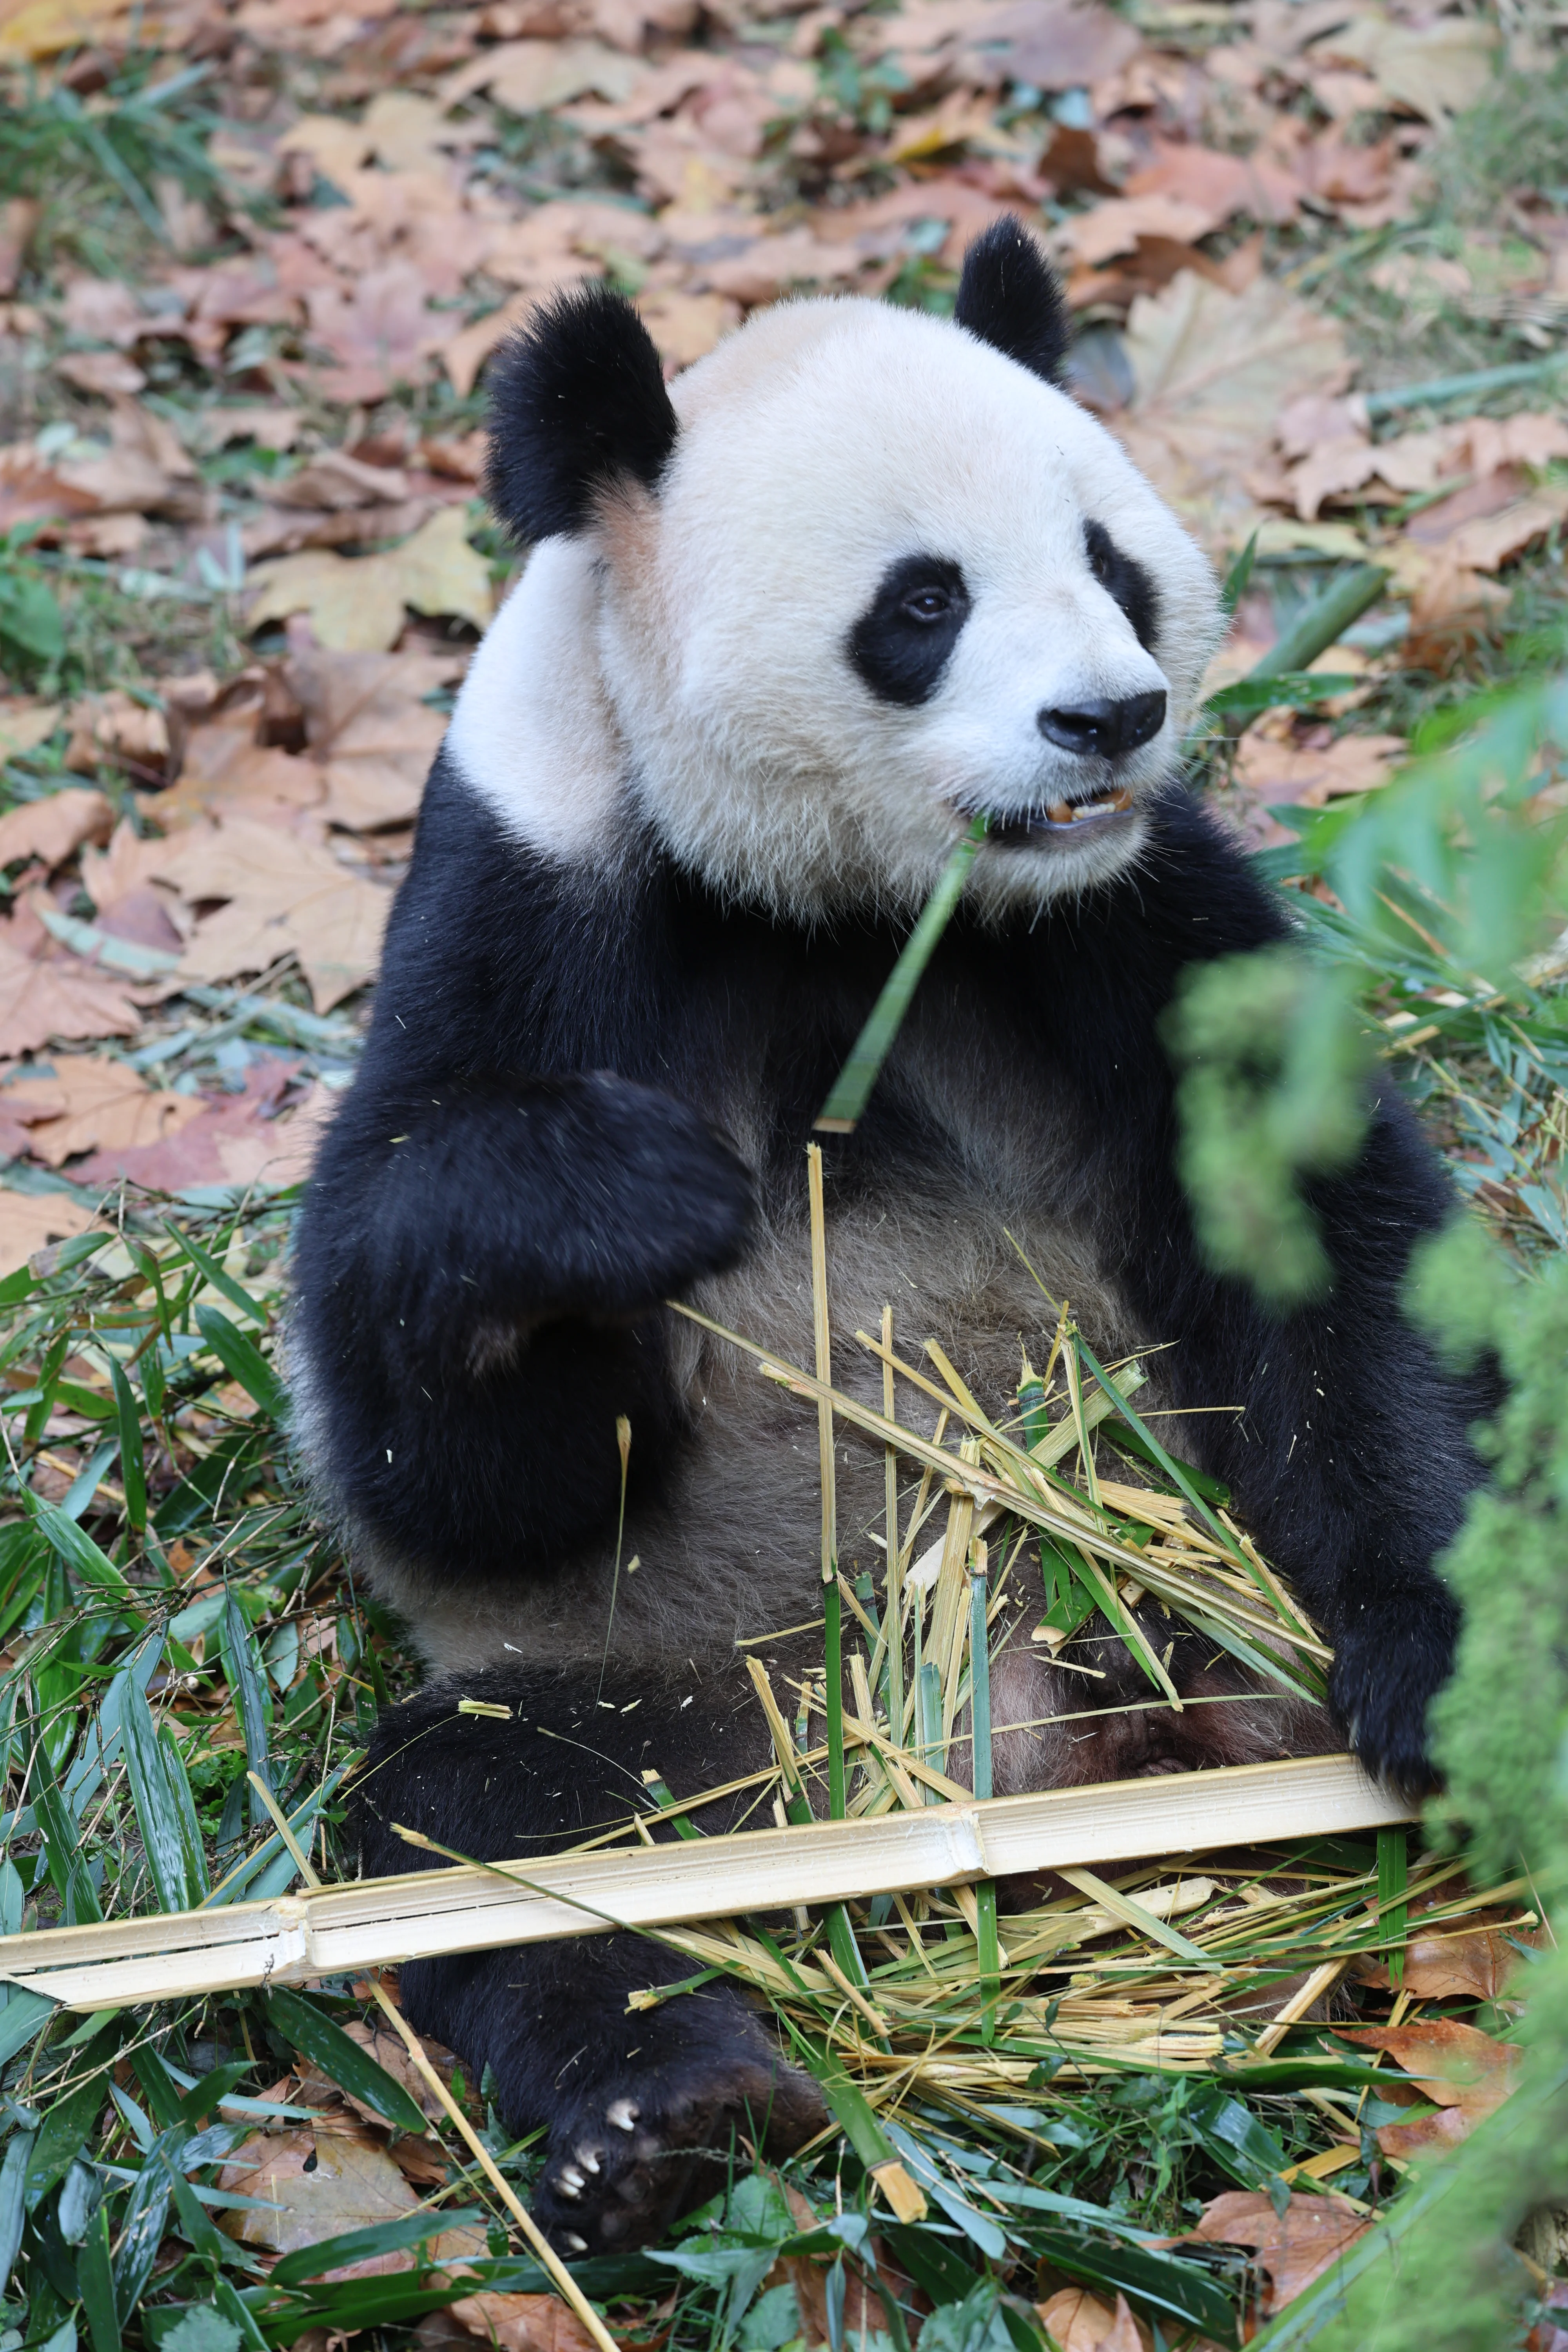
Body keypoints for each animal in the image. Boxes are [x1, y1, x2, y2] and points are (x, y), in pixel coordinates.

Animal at [290, 220, 1491, 2256]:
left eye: (1106, 558)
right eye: (920, 602)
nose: (1108, 713)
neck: (852, 897)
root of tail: (1013, 1744)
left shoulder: (1130, 910)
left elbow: (1329, 1247)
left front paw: (1448, 1667)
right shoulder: (530, 894)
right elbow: (452, 1461)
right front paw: (618, 1204)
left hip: (1183, 1558)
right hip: (682, 1679)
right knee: (490, 1837)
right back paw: (665, 2115)